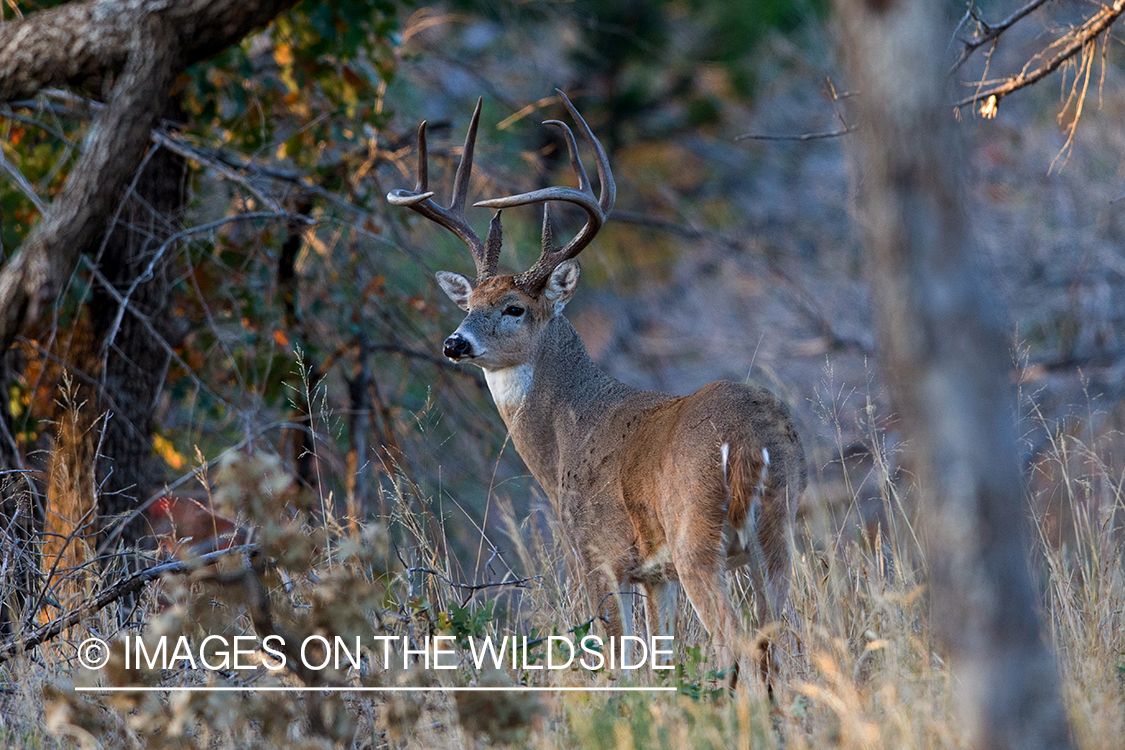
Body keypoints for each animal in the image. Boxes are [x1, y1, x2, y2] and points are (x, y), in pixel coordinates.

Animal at [387, 91, 801, 688]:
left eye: (514, 308)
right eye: (469, 304)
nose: (454, 343)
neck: (567, 435)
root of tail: (750, 440)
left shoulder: (596, 553)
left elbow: (617, 663)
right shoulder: (655, 574)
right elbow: (662, 661)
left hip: (698, 535)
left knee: (739, 643)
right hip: (777, 533)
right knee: (775, 646)